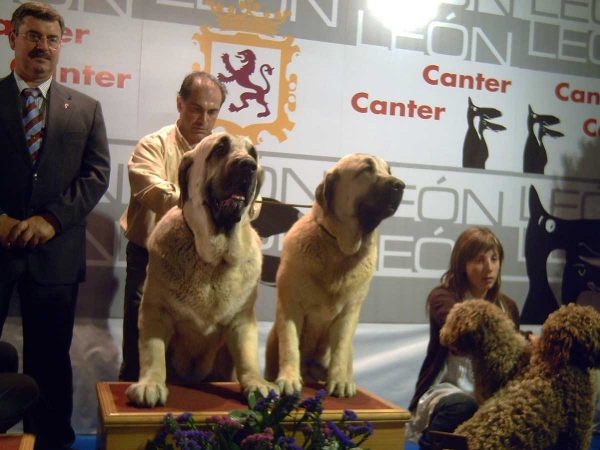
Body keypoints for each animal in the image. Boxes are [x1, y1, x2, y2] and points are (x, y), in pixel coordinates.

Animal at [127, 133, 276, 408]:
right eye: (219, 149)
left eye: (253, 154)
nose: (248, 165)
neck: (213, 262)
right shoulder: (155, 312)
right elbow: (153, 352)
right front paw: (150, 384)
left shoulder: (242, 320)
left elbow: (247, 356)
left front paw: (257, 383)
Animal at [266, 153, 404, 396]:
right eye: (367, 169)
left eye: (388, 170)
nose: (401, 185)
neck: (339, 248)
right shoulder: (290, 305)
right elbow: (290, 345)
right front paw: (289, 379)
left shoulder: (349, 312)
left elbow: (339, 349)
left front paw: (339, 382)